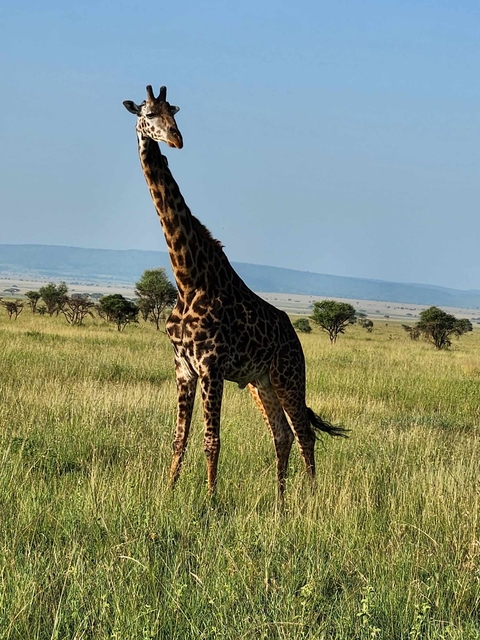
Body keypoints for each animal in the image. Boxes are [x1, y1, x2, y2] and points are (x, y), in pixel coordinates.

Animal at [123, 85, 348, 497]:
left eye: (173, 112)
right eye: (147, 114)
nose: (176, 140)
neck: (188, 278)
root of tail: (295, 337)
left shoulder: (211, 366)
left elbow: (212, 440)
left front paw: (210, 501)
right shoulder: (183, 368)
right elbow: (179, 437)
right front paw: (168, 492)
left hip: (289, 376)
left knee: (304, 433)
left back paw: (310, 496)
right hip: (261, 383)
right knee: (281, 435)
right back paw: (279, 501)